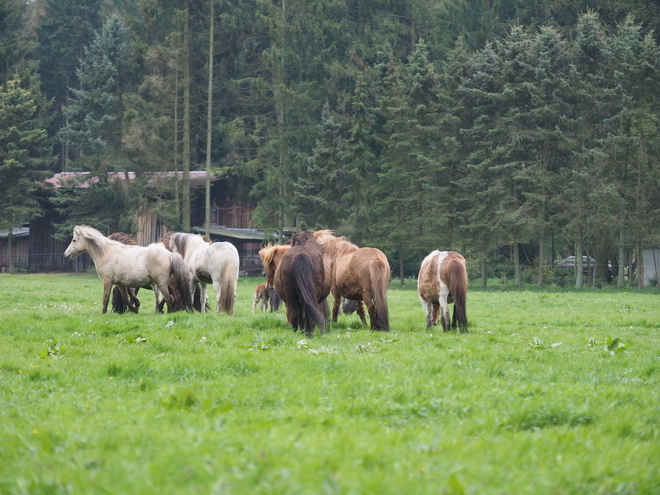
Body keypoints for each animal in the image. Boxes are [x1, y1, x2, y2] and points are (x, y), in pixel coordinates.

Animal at [63, 226, 193, 314]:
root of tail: (170, 254)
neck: (106, 253)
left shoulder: (107, 281)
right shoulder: (121, 284)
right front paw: (135, 310)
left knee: (170, 298)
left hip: (161, 283)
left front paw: (103, 313)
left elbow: (105, 298)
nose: (66, 255)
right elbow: (126, 299)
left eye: (74, 240)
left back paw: (169, 312)